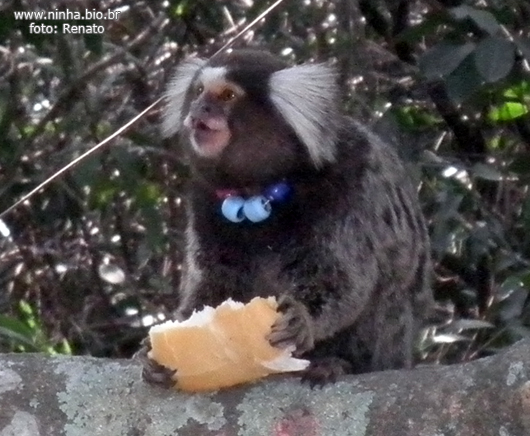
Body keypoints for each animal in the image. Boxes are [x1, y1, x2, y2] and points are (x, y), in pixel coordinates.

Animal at [138, 49, 432, 386]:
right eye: (198, 91)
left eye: (227, 95)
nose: (200, 109)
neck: (259, 189)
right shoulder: (204, 200)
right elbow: (213, 285)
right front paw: (153, 352)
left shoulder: (353, 182)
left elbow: (344, 279)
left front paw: (302, 319)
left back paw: (335, 362)